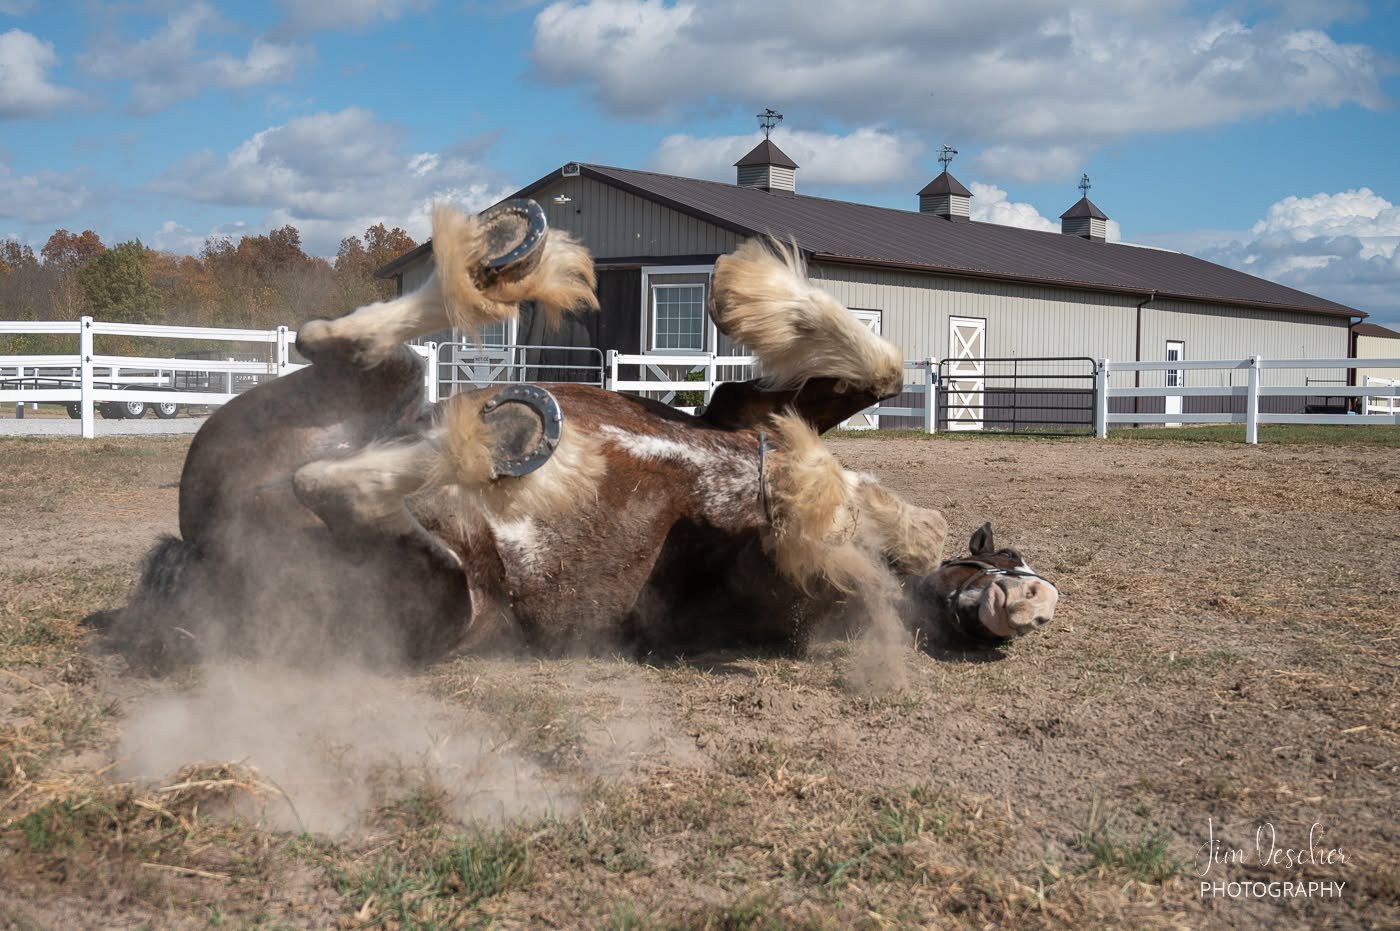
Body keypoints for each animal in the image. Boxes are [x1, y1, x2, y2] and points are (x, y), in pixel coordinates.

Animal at [89, 200, 1057, 672]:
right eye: (1009, 561)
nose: (1034, 602)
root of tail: (204, 551)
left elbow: (837, 513)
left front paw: (869, 513)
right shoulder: (747, 410)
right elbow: (876, 366)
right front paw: (747, 291)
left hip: (443, 595)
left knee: (331, 478)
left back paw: (505, 434)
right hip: (385, 399)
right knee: (346, 347)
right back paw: (505, 266)